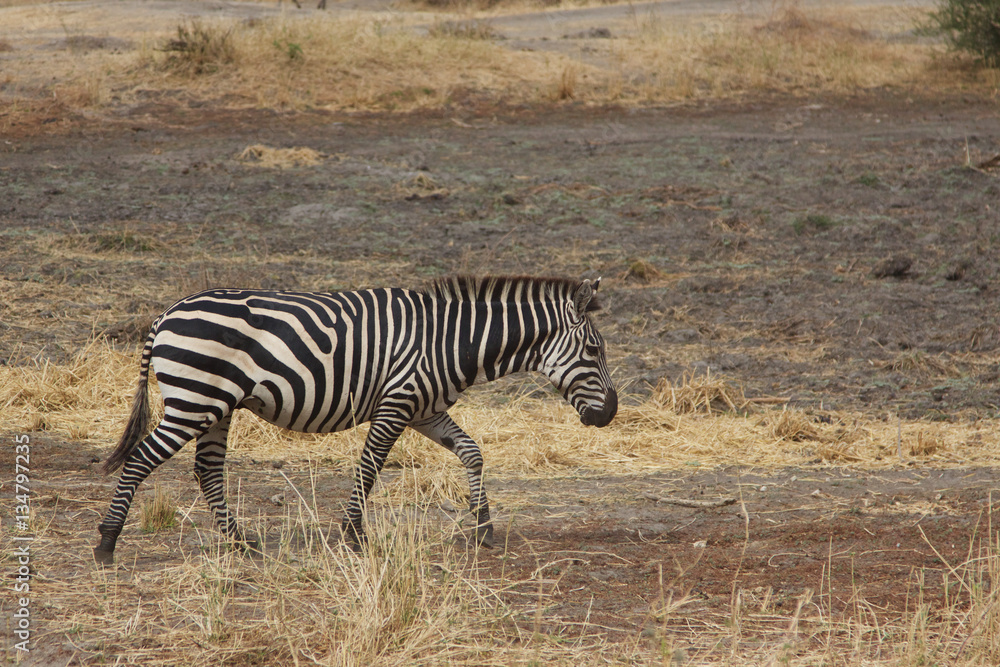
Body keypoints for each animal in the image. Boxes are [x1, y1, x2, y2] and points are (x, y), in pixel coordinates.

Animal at [93, 275, 618, 564]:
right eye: (594, 350)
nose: (610, 413)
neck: (452, 341)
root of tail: (165, 315)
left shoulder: (427, 410)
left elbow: (472, 451)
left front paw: (483, 524)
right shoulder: (398, 402)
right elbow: (370, 467)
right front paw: (353, 535)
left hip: (216, 406)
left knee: (207, 470)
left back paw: (240, 543)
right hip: (194, 401)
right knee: (141, 460)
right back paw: (107, 542)